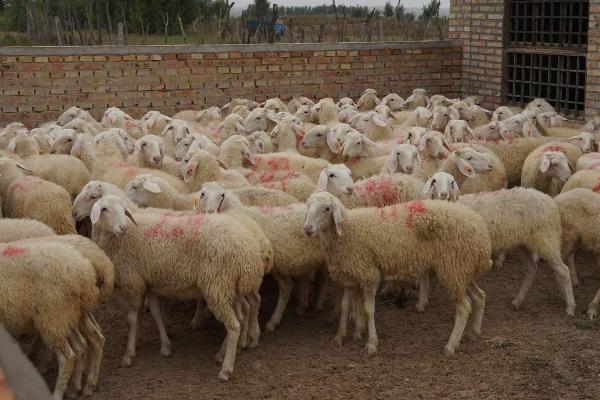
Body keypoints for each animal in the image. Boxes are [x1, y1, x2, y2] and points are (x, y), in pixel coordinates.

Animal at [0, 239, 99, 398]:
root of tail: (84, 270)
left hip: (53, 317)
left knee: (68, 358)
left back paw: (57, 394)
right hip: (71, 315)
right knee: (91, 340)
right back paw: (83, 386)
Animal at [302, 191, 490, 356]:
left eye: (327, 208)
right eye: (308, 206)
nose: (307, 229)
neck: (347, 231)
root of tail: (480, 227)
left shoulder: (369, 274)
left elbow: (368, 310)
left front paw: (371, 343)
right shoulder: (352, 275)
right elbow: (346, 306)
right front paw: (343, 335)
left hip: (452, 267)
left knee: (464, 307)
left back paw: (451, 346)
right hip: (462, 269)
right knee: (480, 296)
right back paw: (474, 333)